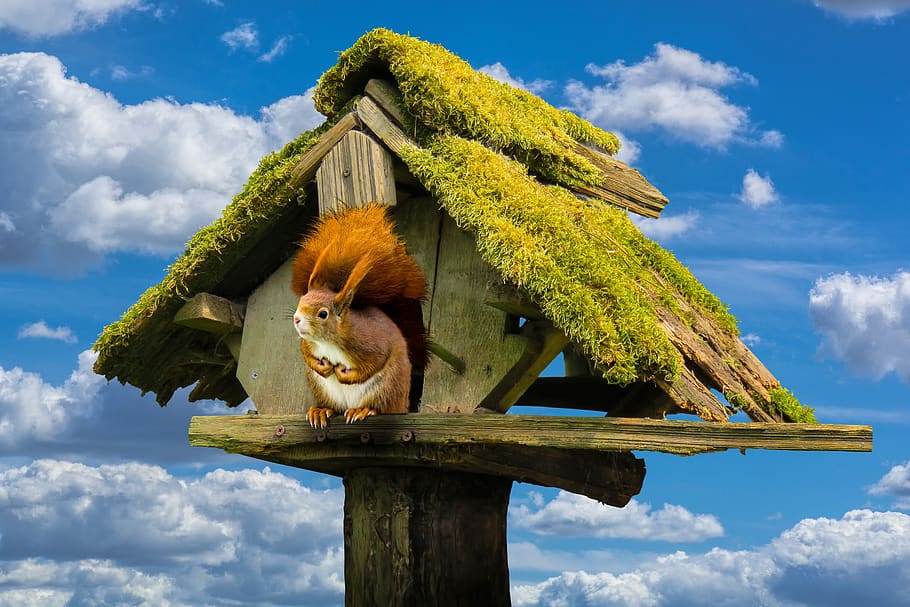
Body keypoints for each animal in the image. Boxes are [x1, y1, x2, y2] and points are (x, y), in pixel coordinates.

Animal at [291, 203, 428, 429]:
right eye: (301, 301)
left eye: (323, 314)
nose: (296, 319)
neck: (328, 342)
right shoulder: (308, 343)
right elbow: (306, 354)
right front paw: (323, 367)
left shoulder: (371, 342)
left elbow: (375, 362)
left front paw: (342, 373)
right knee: (334, 408)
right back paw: (321, 411)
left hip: (387, 389)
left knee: (379, 407)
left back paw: (363, 410)